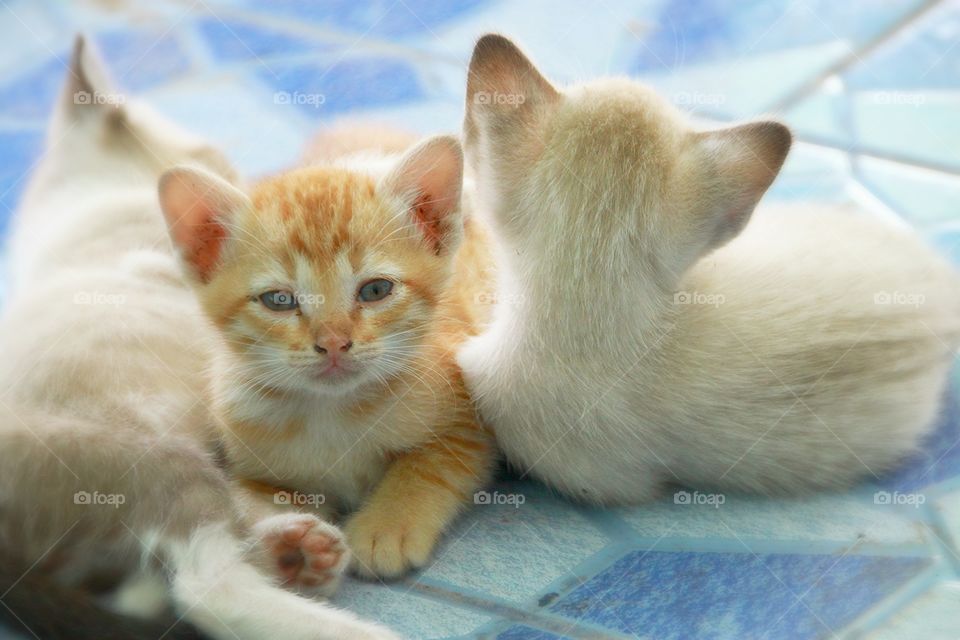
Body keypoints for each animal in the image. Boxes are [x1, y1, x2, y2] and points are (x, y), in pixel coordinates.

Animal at [0, 36, 398, 640]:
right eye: (212, 154)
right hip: (144, 455)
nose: (240, 174)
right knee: (202, 588)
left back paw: (297, 553)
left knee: (148, 591)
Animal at [158, 134, 496, 580]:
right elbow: (245, 500)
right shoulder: (246, 464)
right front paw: (290, 545)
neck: (331, 411)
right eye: (279, 300)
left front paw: (387, 525)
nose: (334, 342)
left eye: (375, 290)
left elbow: (429, 465)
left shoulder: (466, 419)